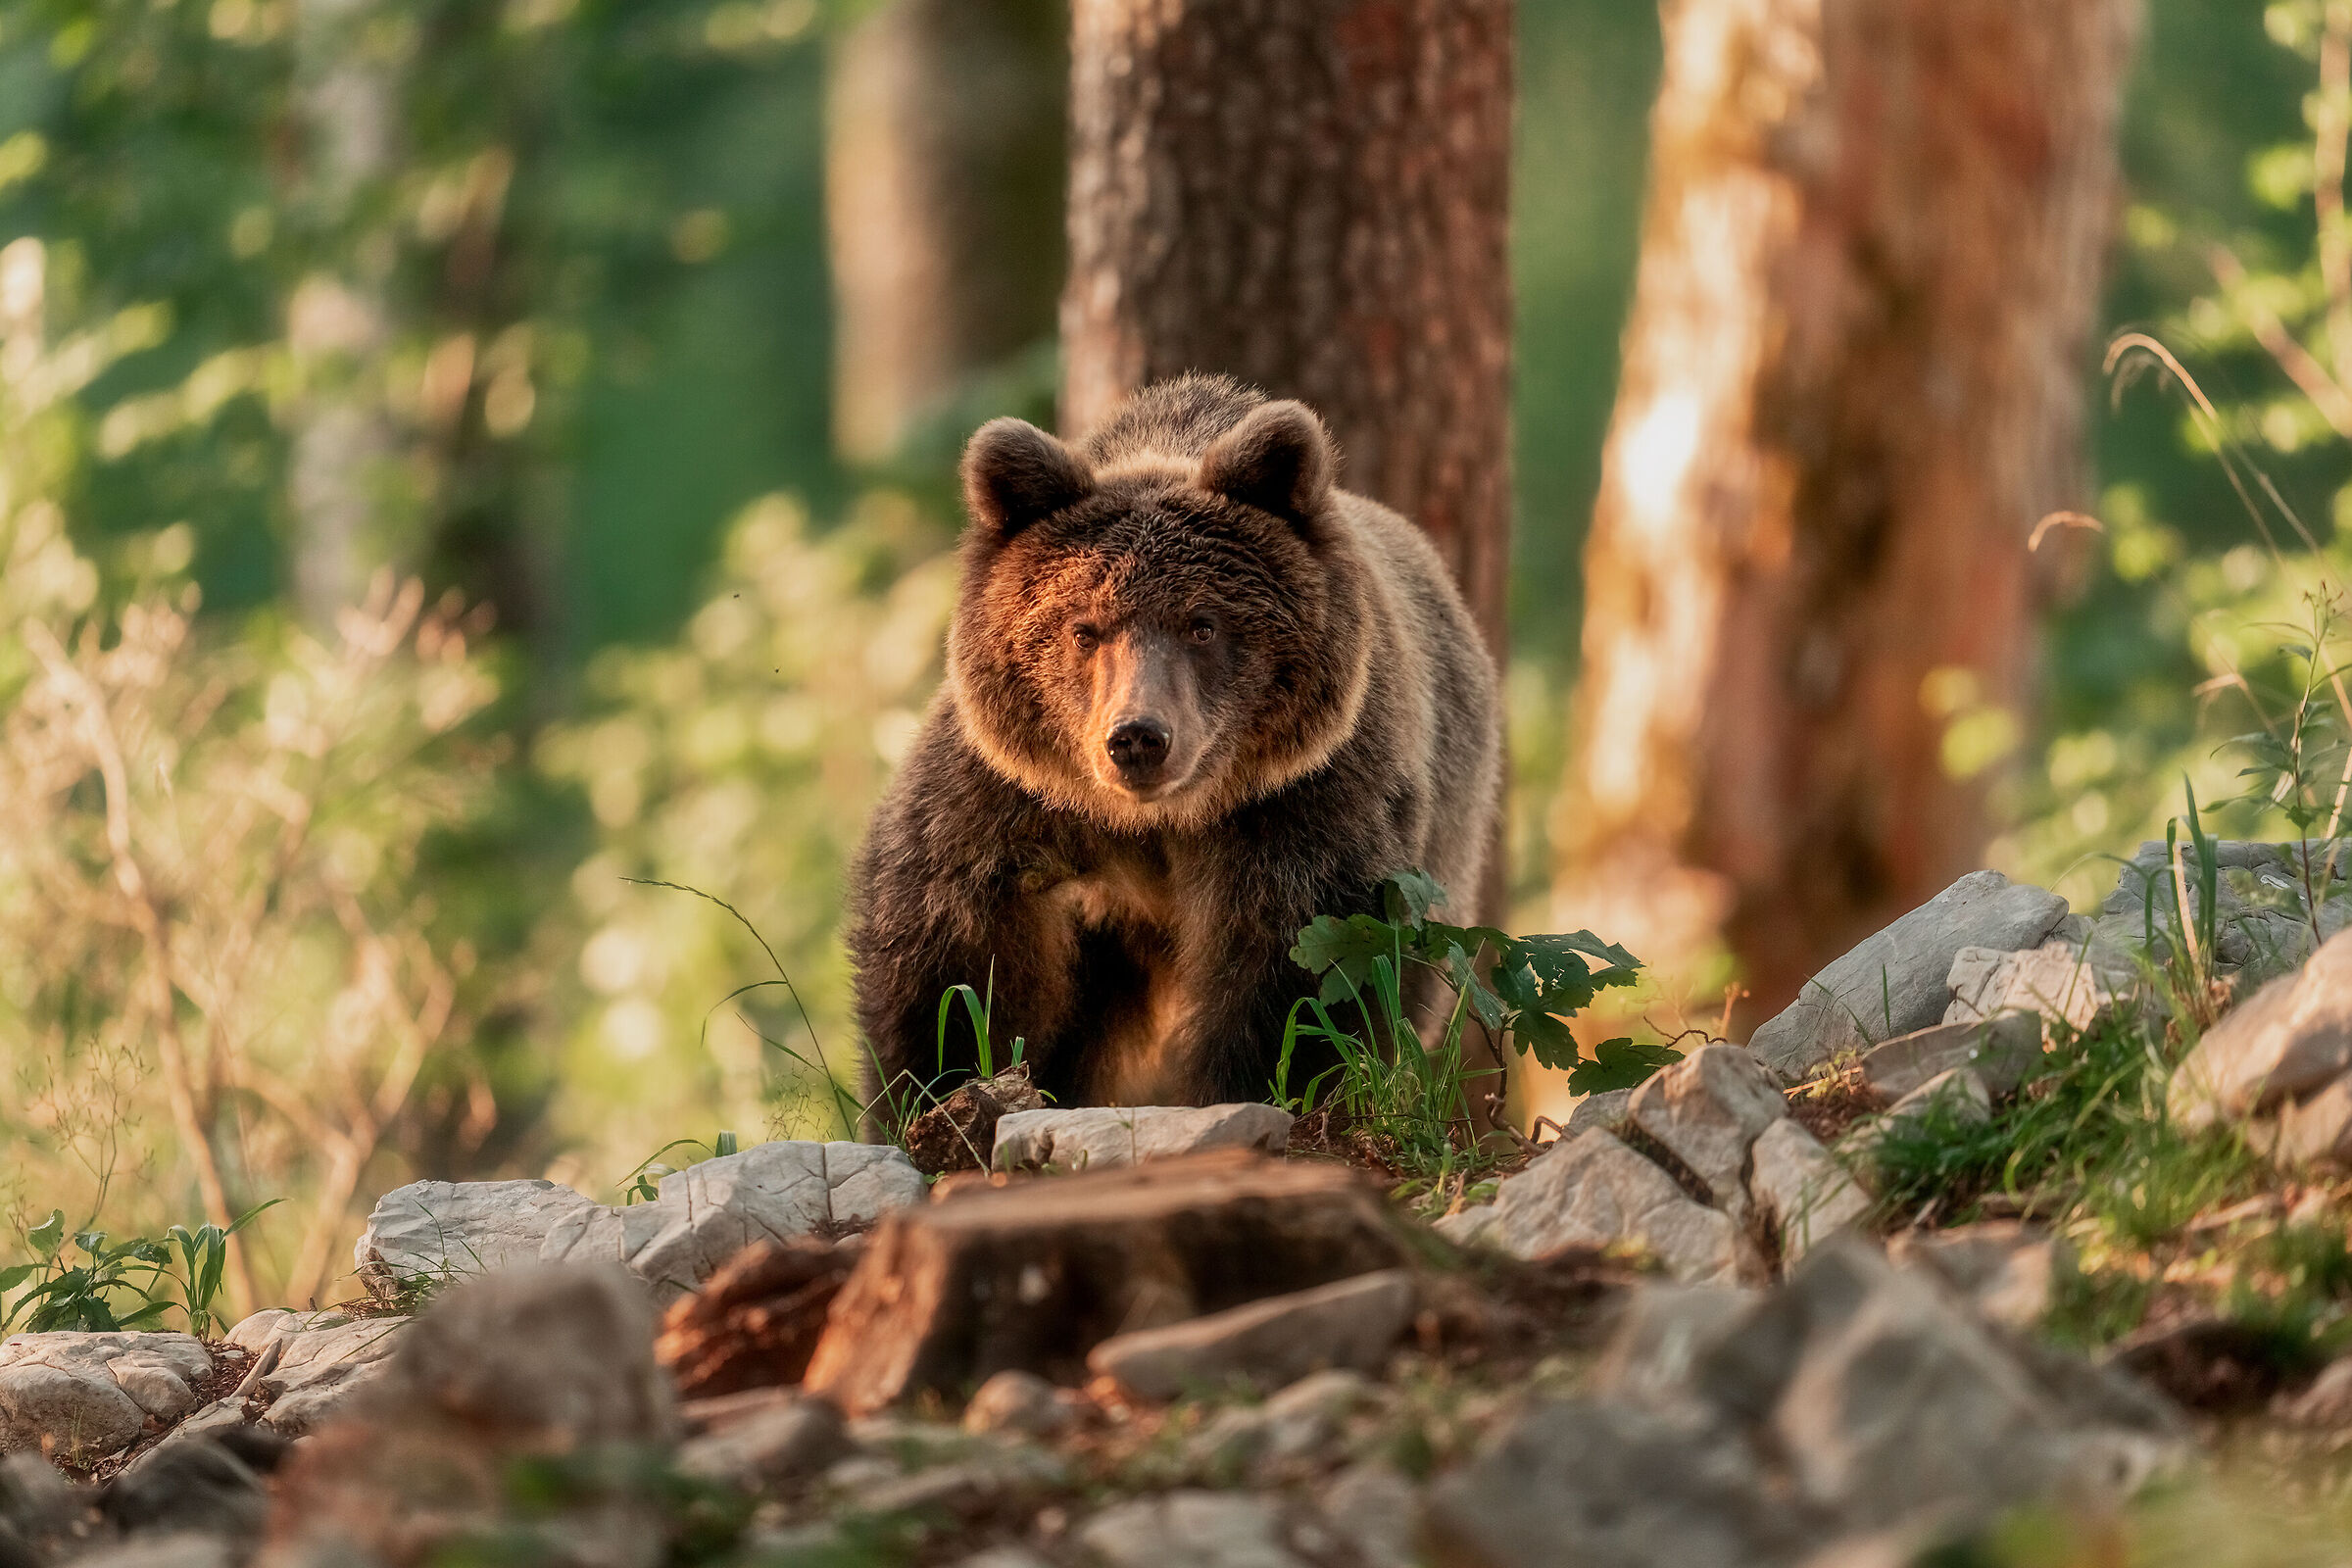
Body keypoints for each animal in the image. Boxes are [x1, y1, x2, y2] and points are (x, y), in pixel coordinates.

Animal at [846, 374, 1503, 1111]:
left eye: (1202, 625)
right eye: (1084, 629)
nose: (1137, 738)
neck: (1159, 822)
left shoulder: (1303, 800)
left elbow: (1305, 967)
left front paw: (1264, 1085)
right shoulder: (1008, 790)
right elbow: (952, 955)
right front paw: (933, 1089)